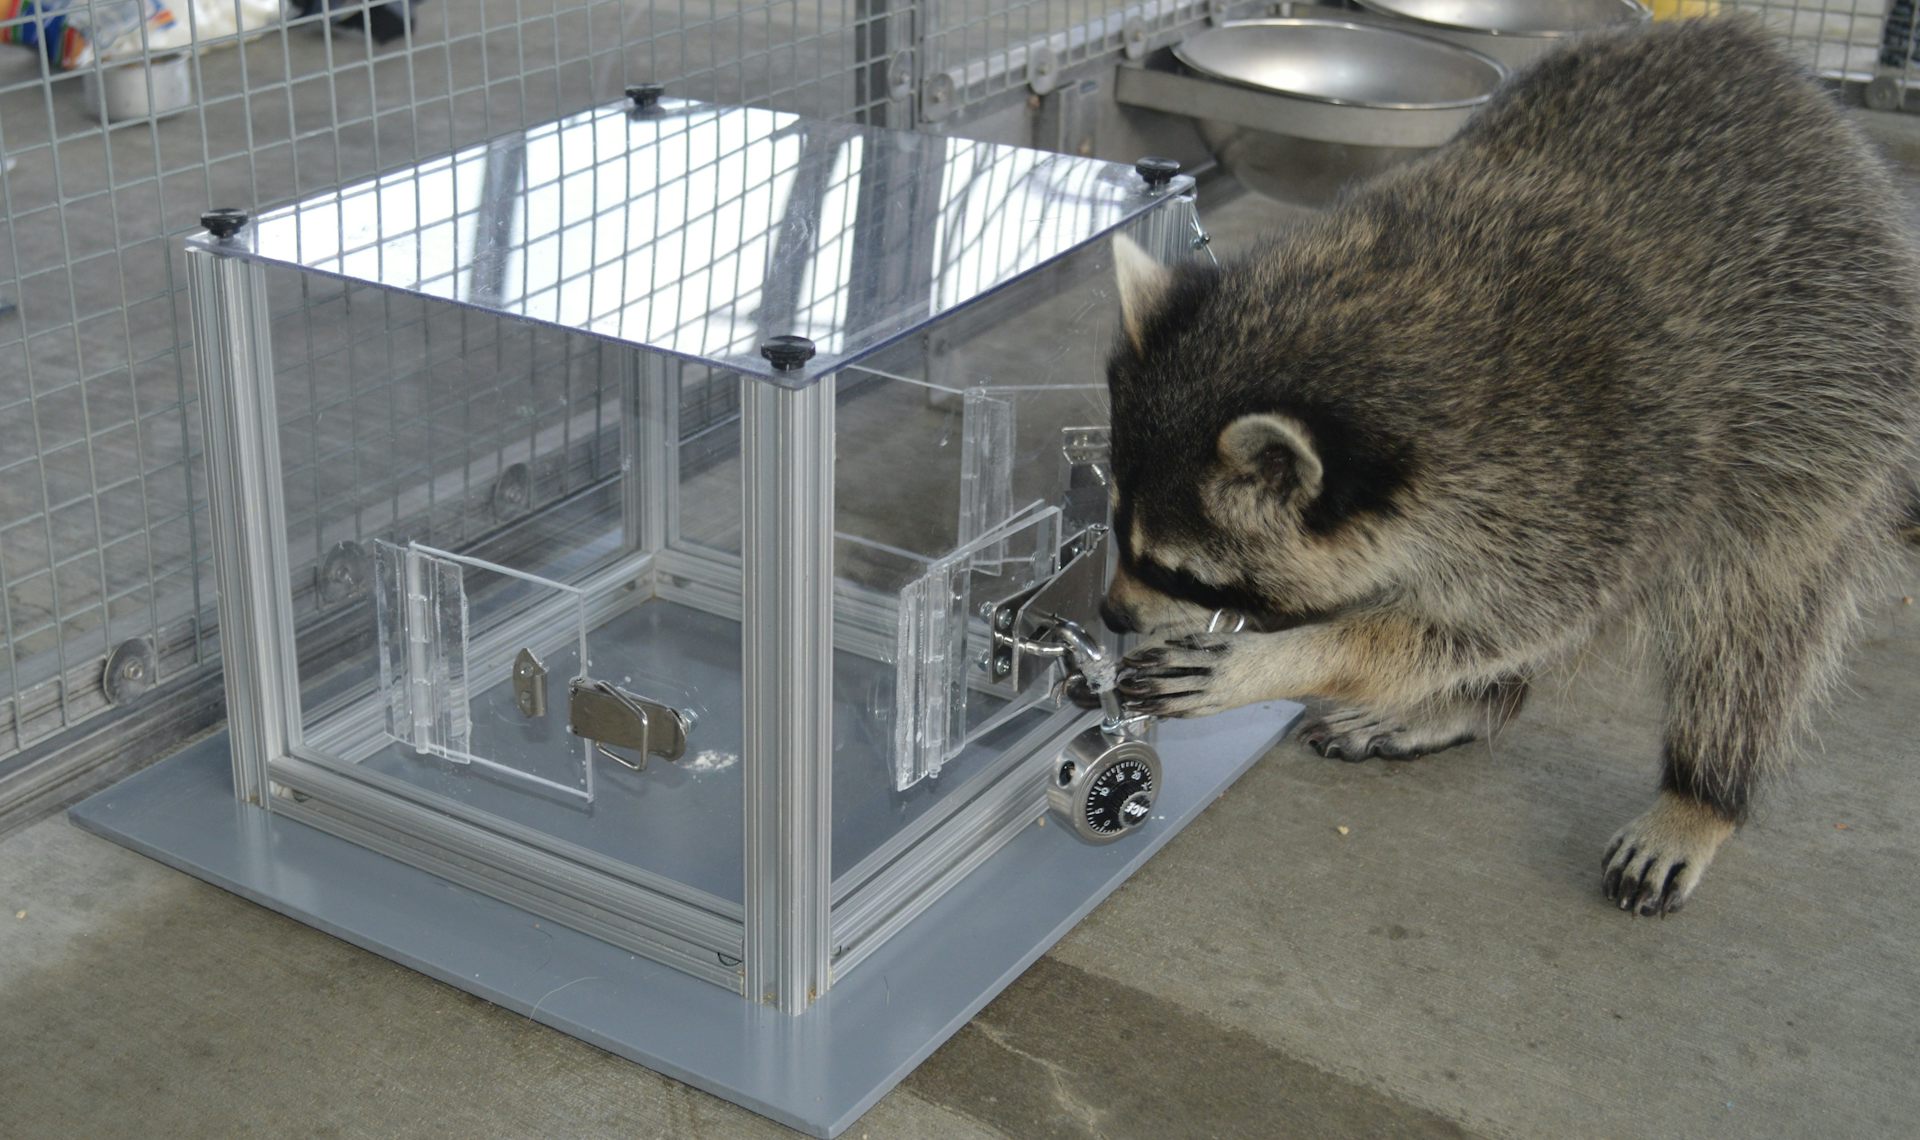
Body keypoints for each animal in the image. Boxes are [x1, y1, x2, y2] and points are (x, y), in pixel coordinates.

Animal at [1100, 17, 1920, 916]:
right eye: (1116, 532)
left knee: (1752, 624)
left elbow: (1475, 627)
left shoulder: (1590, 482)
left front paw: (1295, 657)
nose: (1110, 613)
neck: (1384, 320)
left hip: (1828, 432)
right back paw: (1477, 703)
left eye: (1178, 570)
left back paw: (1702, 791)